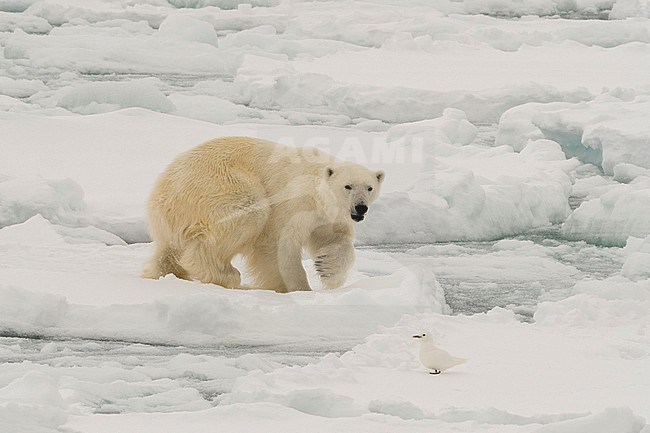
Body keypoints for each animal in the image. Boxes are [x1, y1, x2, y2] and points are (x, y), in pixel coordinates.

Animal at [142, 137, 382, 292]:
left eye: (369, 187)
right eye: (347, 186)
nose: (360, 207)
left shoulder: (328, 218)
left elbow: (336, 239)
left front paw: (327, 270)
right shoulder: (294, 205)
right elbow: (278, 244)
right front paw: (299, 289)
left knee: (167, 253)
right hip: (217, 185)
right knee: (249, 213)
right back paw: (227, 276)